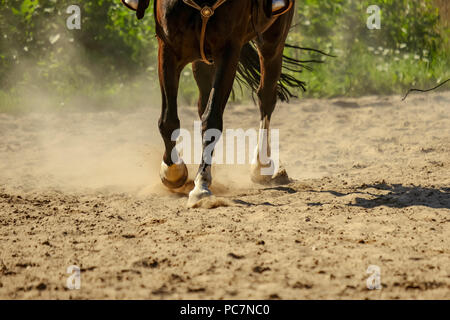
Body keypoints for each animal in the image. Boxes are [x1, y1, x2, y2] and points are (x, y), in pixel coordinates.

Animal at [134, 0, 304, 208]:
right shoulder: (168, 49)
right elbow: (168, 121)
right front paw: (173, 172)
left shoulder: (228, 51)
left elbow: (212, 119)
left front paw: (201, 186)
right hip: (203, 62)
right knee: (203, 103)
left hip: (273, 40)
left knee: (266, 97)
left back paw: (260, 164)